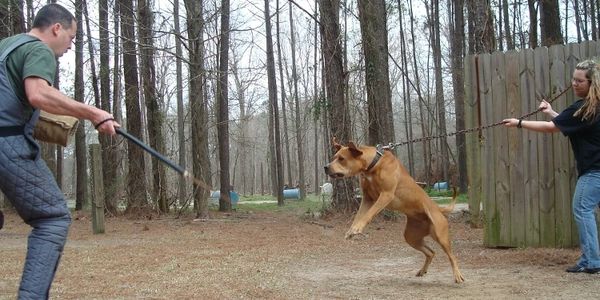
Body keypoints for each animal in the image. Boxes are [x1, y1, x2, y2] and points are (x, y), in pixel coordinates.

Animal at [324, 139, 464, 282]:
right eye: (334, 157)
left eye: (341, 158)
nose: (326, 167)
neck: (373, 164)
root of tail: (438, 208)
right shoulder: (367, 198)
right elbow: (359, 215)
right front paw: (352, 230)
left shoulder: (386, 195)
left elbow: (369, 214)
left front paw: (357, 228)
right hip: (411, 237)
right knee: (431, 252)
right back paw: (423, 270)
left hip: (441, 235)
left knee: (451, 256)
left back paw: (457, 275)